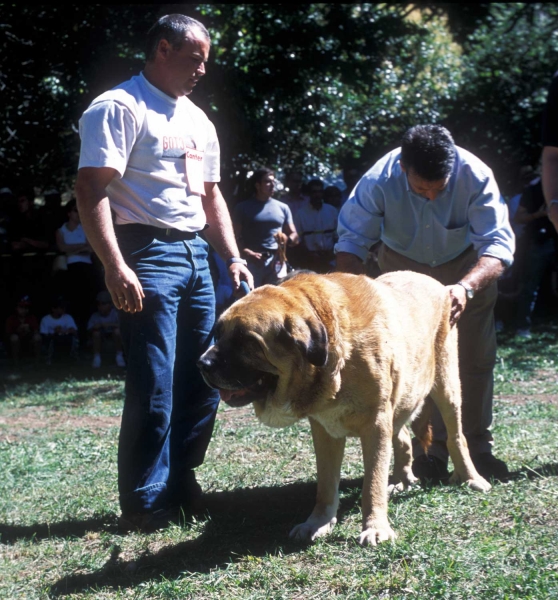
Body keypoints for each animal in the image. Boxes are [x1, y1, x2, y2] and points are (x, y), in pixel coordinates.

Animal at [197, 270, 490, 544]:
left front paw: (376, 527)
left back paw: (471, 478)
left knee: (456, 436)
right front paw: (318, 523)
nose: (202, 364)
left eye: (246, 341)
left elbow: (372, 483)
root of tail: (437, 284)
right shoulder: (325, 430)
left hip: (447, 387)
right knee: (404, 437)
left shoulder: (376, 424)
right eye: (218, 334)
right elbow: (326, 485)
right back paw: (402, 479)